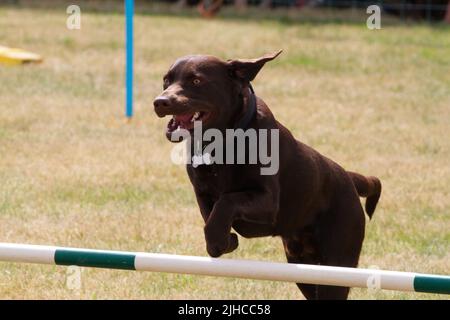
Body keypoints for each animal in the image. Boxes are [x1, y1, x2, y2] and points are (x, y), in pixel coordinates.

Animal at [153, 51, 382, 298]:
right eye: (166, 80)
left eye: (196, 80)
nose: (160, 101)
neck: (222, 143)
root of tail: (348, 178)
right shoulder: (202, 192)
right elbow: (210, 213)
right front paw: (225, 241)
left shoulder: (268, 201)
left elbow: (226, 201)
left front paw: (219, 240)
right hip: (302, 264)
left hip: (337, 263)